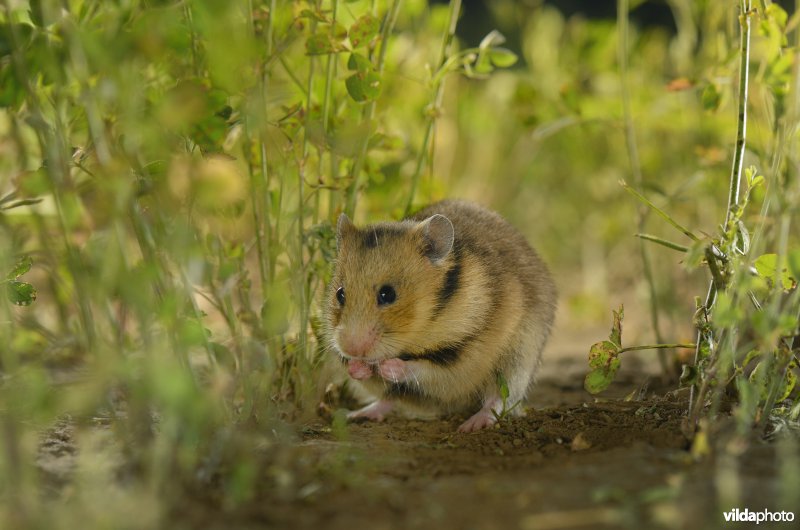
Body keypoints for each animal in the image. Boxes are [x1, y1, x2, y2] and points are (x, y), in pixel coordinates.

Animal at [326, 200, 557, 432]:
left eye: (388, 294)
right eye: (340, 294)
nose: (351, 349)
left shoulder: (464, 358)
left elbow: (424, 368)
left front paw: (386, 366)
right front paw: (358, 367)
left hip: (519, 360)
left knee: (498, 399)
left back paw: (471, 425)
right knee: (389, 399)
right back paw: (355, 414)